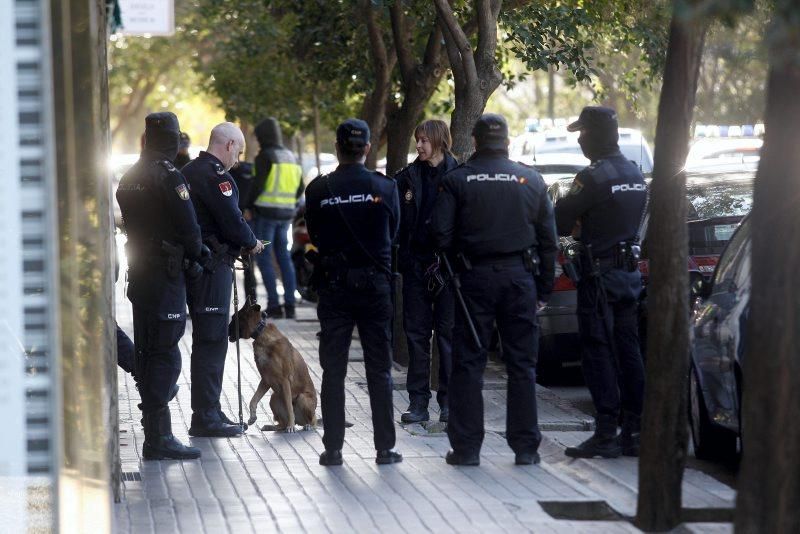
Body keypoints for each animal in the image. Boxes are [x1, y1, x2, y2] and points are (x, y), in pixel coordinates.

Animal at [227, 300, 318, 434]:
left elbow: (289, 408)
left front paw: (291, 426)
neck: (261, 334)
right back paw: (272, 426)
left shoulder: (284, 380)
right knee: (282, 424)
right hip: (274, 397)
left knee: (313, 419)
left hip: (302, 398)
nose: (224, 330)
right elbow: (253, 400)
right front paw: (252, 417)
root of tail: (300, 421)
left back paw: (306, 425)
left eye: (234, 318)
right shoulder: (265, 380)